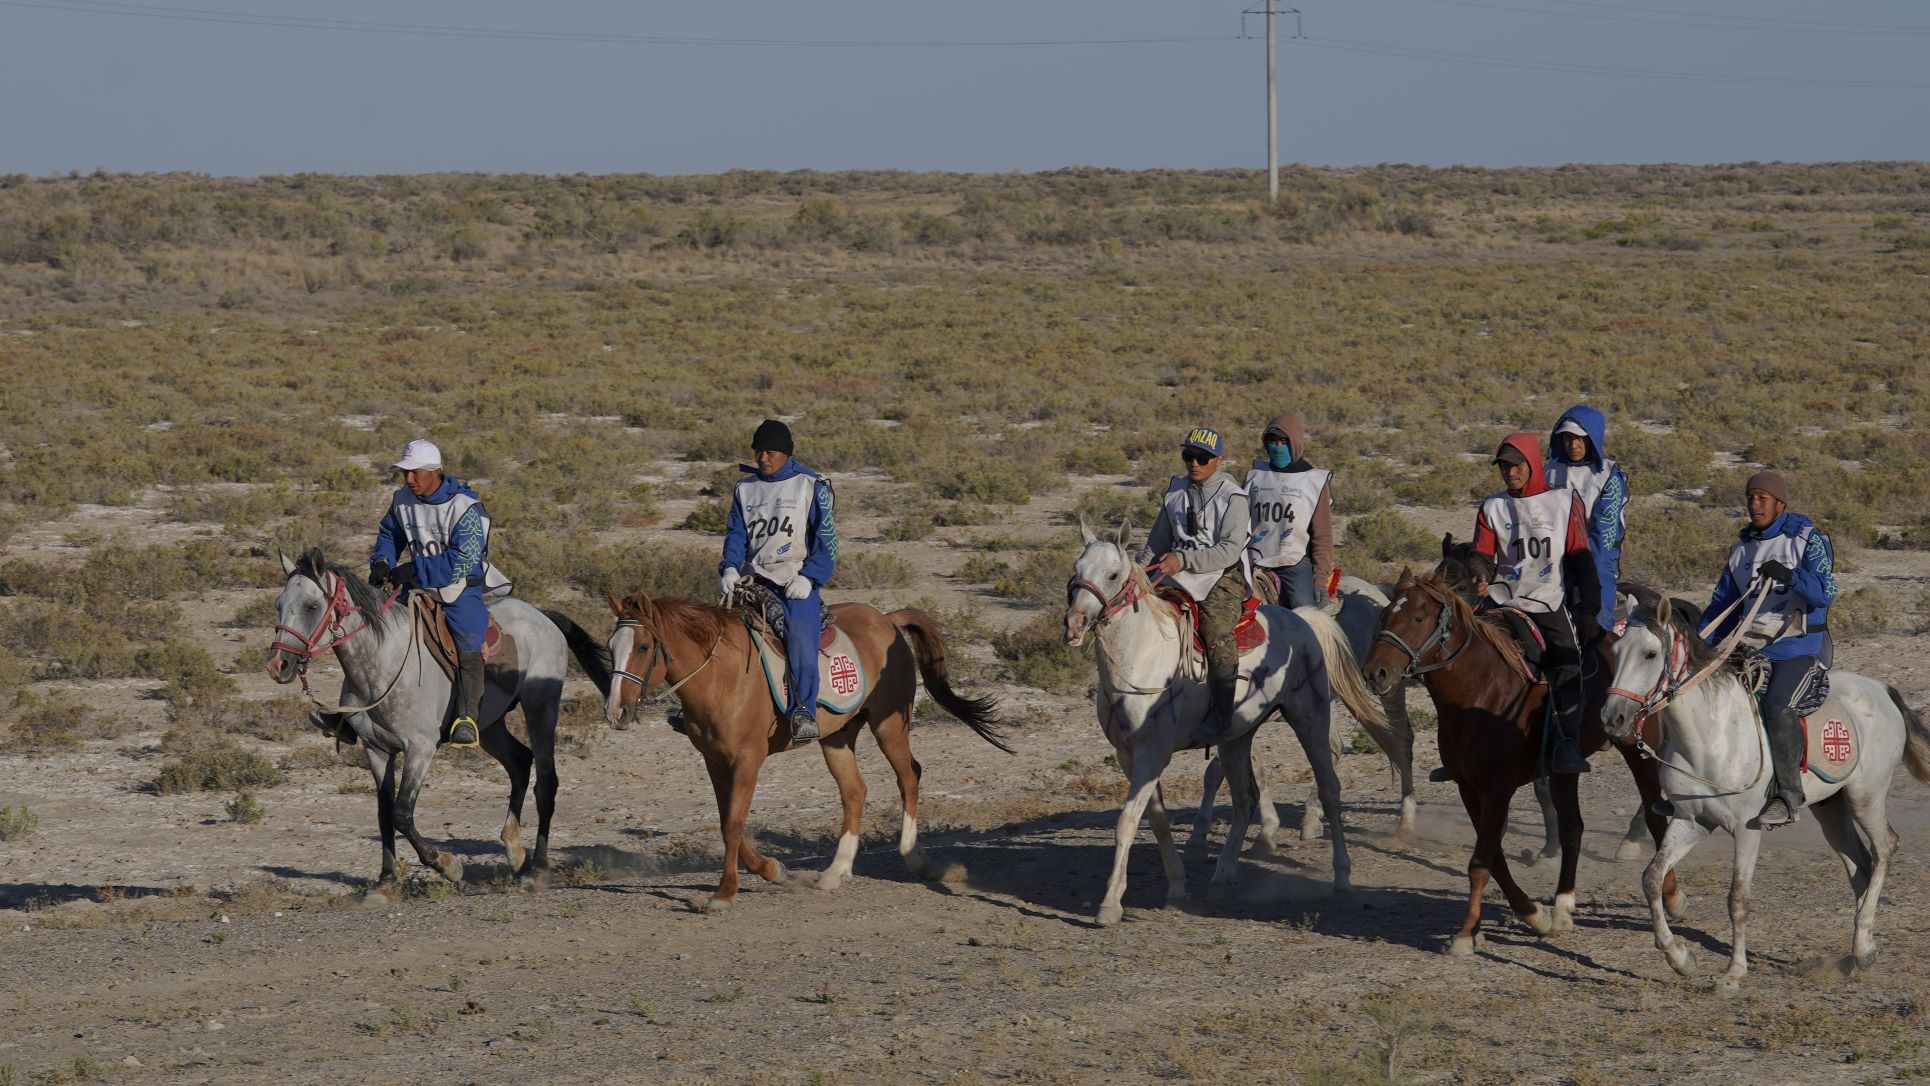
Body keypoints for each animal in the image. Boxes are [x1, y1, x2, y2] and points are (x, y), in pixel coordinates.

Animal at [586, 594, 1011, 910]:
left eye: (644, 647)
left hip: (889, 726)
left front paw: (725, 893)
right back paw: (836, 871)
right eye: (609, 646)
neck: (721, 678)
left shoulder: (748, 760)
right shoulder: (715, 761)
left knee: (909, 776)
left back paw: (913, 856)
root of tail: (887, 620)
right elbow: (727, 822)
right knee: (855, 792)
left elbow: (733, 823)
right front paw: (772, 869)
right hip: (837, 738)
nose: (615, 712)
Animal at [1065, 516, 1397, 925]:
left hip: (1311, 718)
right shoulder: (1129, 755)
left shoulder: (1152, 754)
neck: (1140, 657)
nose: (1074, 623)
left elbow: (1127, 821)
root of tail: (1300, 619)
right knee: (1244, 799)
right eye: (1076, 569)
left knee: (1330, 790)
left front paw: (1110, 904)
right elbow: (1157, 820)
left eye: (1112, 574)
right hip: (1237, 737)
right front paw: (1178, 887)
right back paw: (1223, 877)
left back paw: (1341, 875)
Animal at [1351, 567, 1682, 956]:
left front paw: (1465, 933)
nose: (1375, 673)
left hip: (1636, 747)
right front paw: (1534, 915)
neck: (1482, 690)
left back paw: (1671, 896)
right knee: (1572, 827)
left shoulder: (1498, 788)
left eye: (1418, 618)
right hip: (1563, 769)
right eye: (1386, 616)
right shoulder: (1469, 788)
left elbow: (1481, 861)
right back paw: (1563, 907)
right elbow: (1493, 855)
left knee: (1655, 815)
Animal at [1598, 590, 1930, 995]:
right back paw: (1855, 954)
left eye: (1649, 653)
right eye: (1615, 652)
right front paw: (1679, 958)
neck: (1710, 737)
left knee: (1884, 849)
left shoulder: (1746, 829)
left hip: (1864, 796)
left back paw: (1865, 945)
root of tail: (1882, 689)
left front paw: (1733, 973)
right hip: (1831, 809)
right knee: (1860, 865)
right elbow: (1652, 877)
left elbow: (1737, 899)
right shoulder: (1690, 822)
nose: (1612, 718)